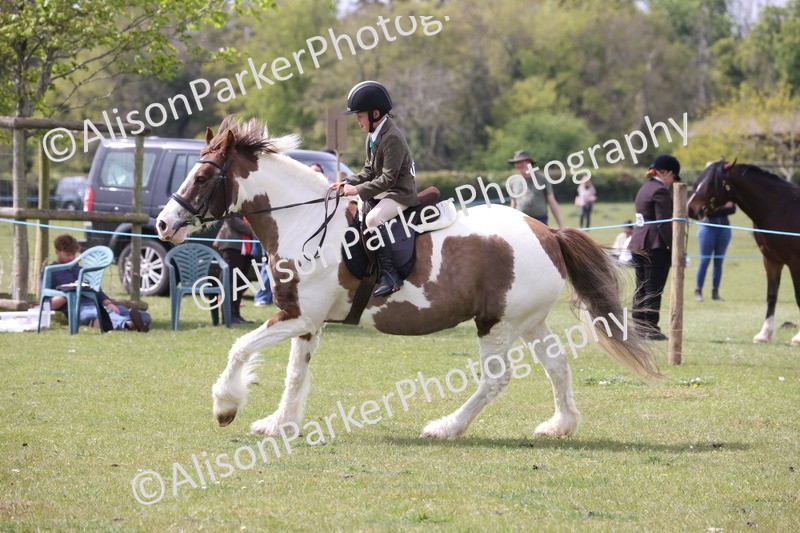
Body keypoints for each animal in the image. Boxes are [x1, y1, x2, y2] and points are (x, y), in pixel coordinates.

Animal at [156, 116, 662, 440]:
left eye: (201, 177)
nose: (163, 224)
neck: (303, 220)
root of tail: (548, 233)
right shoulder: (307, 322)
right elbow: (295, 374)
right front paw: (281, 425)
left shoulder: (297, 316)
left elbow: (240, 348)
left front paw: (226, 406)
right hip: (529, 320)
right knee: (556, 366)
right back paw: (560, 426)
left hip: (495, 324)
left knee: (495, 380)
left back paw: (446, 427)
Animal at [688, 160, 800, 344]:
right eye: (698, 180)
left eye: (711, 183)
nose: (691, 209)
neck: (781, 208)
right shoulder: (771, 260)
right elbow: (771, 296)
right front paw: (764, 334)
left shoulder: (794, 262)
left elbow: (798, 297)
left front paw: (798, 337)